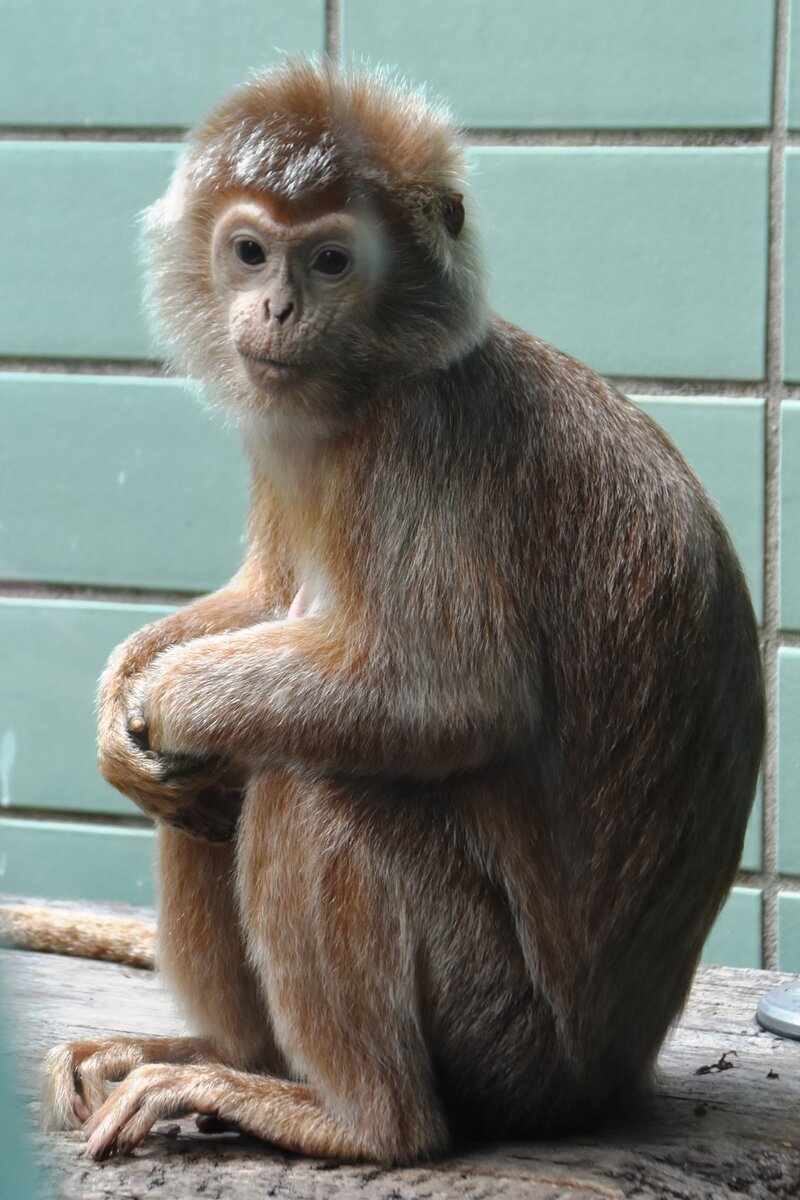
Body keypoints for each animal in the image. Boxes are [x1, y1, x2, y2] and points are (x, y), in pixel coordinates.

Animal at [38, 60, 762, 1166]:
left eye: (333, 261)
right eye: (251, 252)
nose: (277, 307)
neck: (369, 382)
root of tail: (612, 1075)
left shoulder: (422, 438)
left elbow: (449, 697)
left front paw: (166, 693)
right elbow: (263, 598)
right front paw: (122, 706)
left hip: (506, 1041)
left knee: (303, 776)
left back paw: (353, 1120)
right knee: (224, 780)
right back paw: (220, 1052)